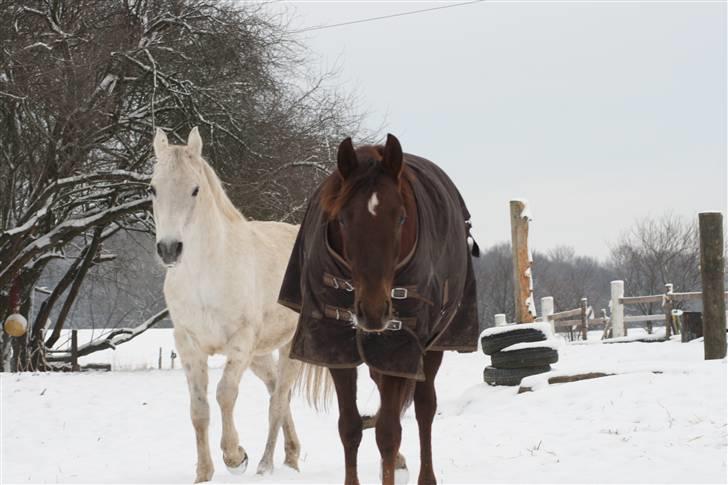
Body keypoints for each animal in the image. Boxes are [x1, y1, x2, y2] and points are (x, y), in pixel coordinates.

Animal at [151, 127, 328, 480]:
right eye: (152, 189)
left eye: (195, 190)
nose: (169, 249)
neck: (205, 274)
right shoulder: (188, 345)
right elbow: (199, 409)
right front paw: (203, 474)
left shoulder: (240, 342)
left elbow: (225, 394)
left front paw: (235, 457)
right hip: (260, 355)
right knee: (277, 393)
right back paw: (290, 457)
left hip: (289, 348)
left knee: (278, 401)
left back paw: (265, 465)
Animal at [278, 132, 478, 484]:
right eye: (342, 219)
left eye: (400, 217)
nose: (373, 311)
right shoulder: (335, 348)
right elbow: (350, 427)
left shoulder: (398, 349)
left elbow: (388, 433)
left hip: (432, 345)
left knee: (424, 407)